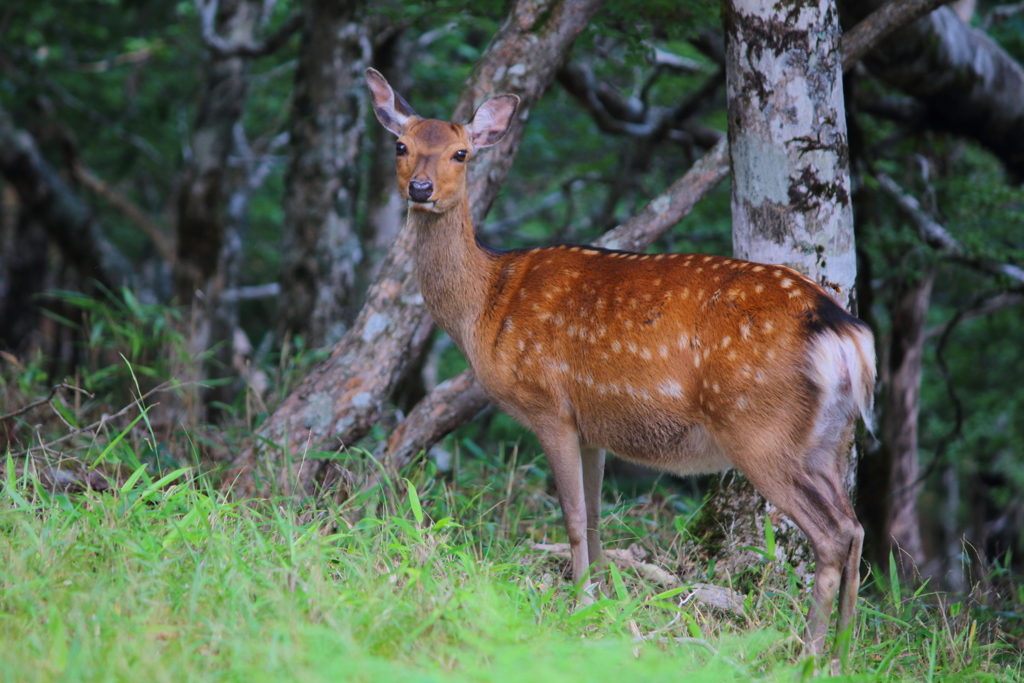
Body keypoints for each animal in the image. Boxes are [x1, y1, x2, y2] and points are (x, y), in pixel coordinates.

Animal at [364, 68, 876, 655]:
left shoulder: (549, 405)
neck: (485, 307)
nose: (420, 189)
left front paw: (577, 605)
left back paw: (812, 652)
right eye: (401, 146)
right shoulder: (593, 425)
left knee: (831, 533)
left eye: (461, 153)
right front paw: (601, 604)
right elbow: (596, 518)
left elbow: (572, 515)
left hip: (760, 429)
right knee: (855, 526)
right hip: (829, 439)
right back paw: (844, 649)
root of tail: (844, 333)